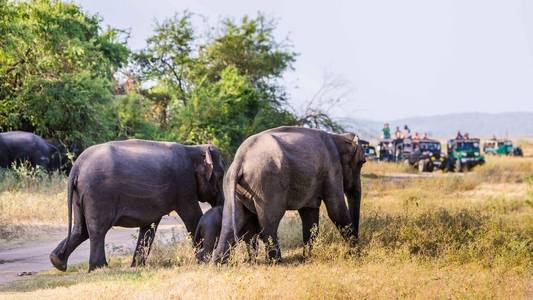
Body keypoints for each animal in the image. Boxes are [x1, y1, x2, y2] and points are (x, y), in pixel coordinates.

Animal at [49, 139, 224, 274]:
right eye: (221, 176)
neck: (193, 149)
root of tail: (77, 166)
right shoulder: (184, 184)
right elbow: (192, 216)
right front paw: (204, 260)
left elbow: (149, 226)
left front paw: (137, 267)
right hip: (98, 193)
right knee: (97, 229)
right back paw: (100, 268)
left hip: (80, 194)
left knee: (81, 228)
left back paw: (58, 262)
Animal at [212, 125, 366, 262]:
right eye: (361, 163)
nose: (351, 252)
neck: (337, 137)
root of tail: (240, 159)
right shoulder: (332, 168)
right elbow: (336, 211)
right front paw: (357, 255)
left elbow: (310, 215)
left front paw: (307, 258)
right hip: (267, 185)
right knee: (270, 222)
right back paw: (276, 261)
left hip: (235, 186)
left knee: (230, 224)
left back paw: (218, 264)